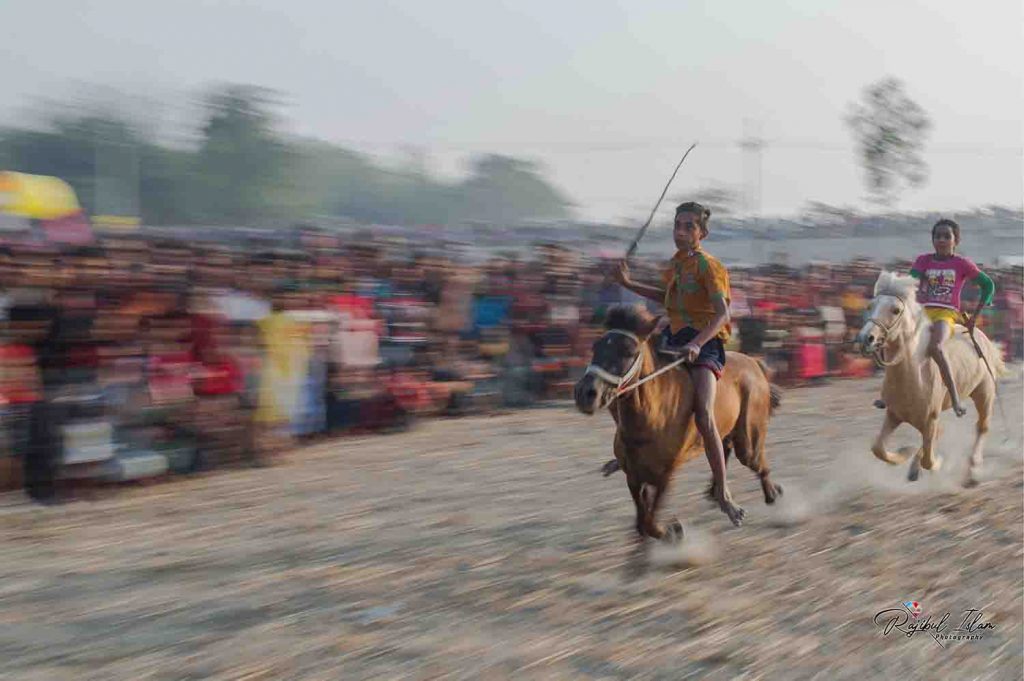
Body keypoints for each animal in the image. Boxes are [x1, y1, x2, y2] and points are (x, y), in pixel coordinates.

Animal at [573, 305, 778, 548]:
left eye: (628, 351)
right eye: (596, 346)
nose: (585, 393)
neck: (652, 418)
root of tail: (754, 364)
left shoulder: (665, 477)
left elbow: (650, 523)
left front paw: (674, 531)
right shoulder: (633, 476)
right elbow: (643, 521)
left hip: (748, 439)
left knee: (757, 464)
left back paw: (765, 496)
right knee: (724, 447)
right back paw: (717, 492)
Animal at [851, 268, 1003, 485]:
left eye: (895, 310)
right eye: (870, 306)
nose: (866, 338)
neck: (912, 374)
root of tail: (981, 337)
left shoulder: (930, 419)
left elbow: (929, 461)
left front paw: (935, 463)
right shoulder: (894, 415)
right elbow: (878, 449)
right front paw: (905, 452)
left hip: (985, 393)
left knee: (982, 427)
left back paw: (972, 473)